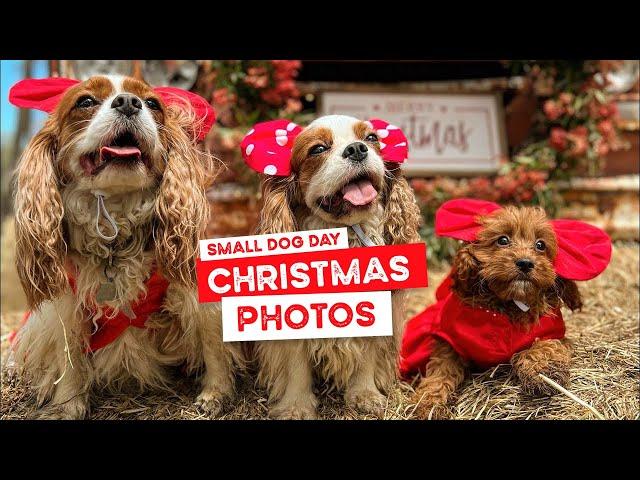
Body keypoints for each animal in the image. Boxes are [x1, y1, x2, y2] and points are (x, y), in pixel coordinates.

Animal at [7, 76, 242, 420]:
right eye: (85, 102)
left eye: (153, 104)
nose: (129, 102)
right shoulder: (69, 302)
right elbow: (69, 353)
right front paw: (68, 403)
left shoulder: (195, 289)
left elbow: (213, 344)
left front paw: (215, 394)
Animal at [238, 114, 422, 418]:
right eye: (318, 149)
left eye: (372, 138)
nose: (357, 149)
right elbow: (297, 366)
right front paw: (297, 407)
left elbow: (367, 356)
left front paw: (365, 395)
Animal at [402, 197, 612, 418]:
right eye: (502, 240)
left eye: (540, 245)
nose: (525, 263)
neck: (508, 303)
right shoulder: (449, 339)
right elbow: (441, 370)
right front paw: (428, 404)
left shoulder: (552, 332)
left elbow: (543, 346)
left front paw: (543, 372)